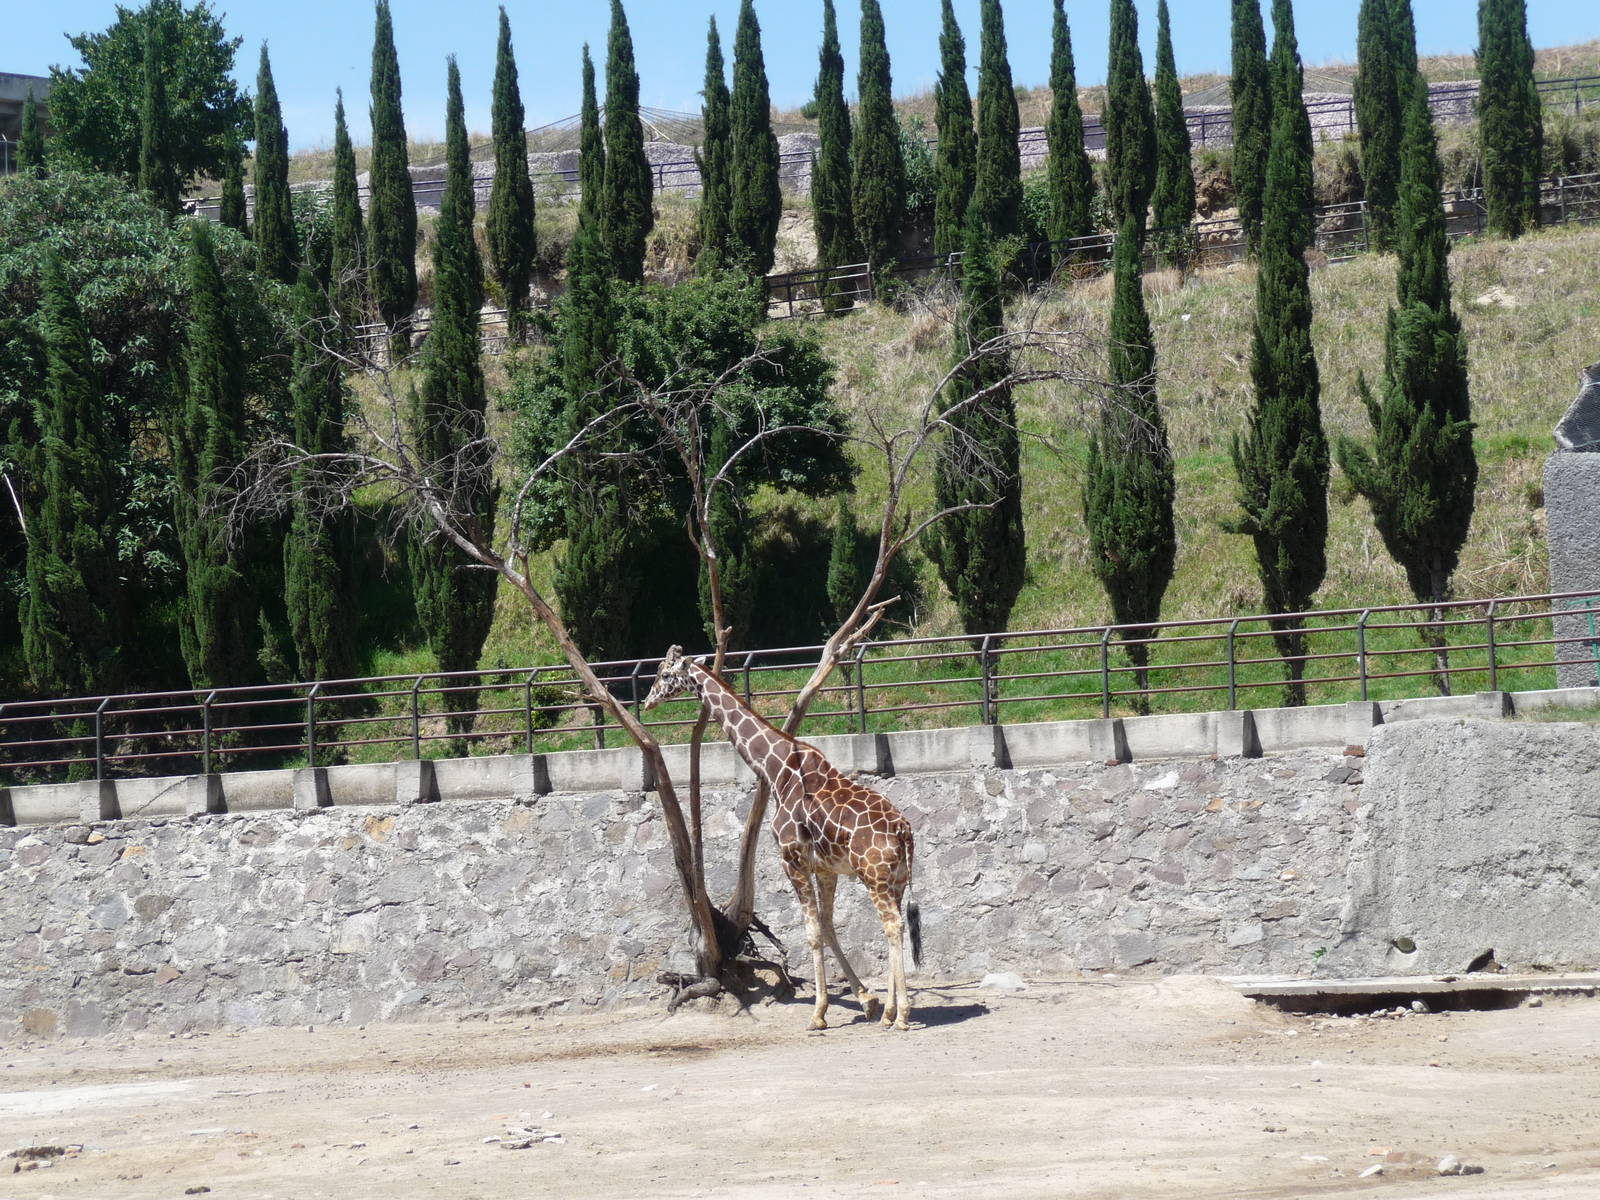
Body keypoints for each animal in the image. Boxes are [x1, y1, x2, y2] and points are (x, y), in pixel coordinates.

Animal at [643, 646, 921, 1030]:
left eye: (666, 674)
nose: (647, 701)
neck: (776, 770)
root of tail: (904, 831)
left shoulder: (791, 859)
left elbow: (812, 932)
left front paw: (818, 1014)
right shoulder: (825, 868)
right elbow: (828, 926)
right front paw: (867, 1000)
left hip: (874, 876)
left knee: (893, 925)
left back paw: (903, 1015)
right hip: (896, 879)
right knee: (893, 926)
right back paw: (891, 1014)